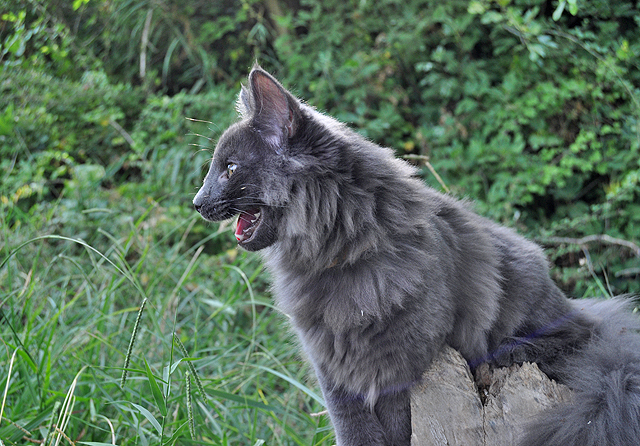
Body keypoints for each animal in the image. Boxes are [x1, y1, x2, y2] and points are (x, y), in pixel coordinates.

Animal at [193, 65, 640, 446]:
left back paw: (513, 351)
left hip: (531, 296)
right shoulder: (332, 366)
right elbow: (353, 429)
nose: (197, 202)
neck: (340, 258)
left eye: (230, 169)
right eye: (217, 169)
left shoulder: (403, 365)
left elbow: (397, 426)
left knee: (577, 336)